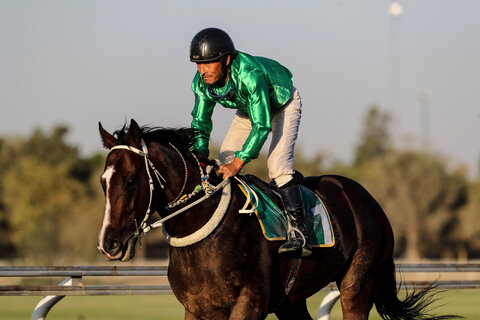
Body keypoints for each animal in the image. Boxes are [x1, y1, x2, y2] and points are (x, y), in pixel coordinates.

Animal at [95, 119, 456, 318]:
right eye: (103, 181)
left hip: (358, 285)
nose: (108, 243)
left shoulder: (248, 305)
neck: (203, 228)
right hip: (291, 301)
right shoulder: (196, 309)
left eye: (132, 180)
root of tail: (368, 200)